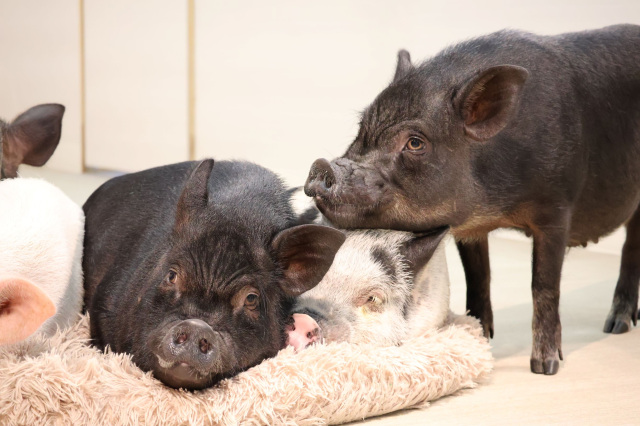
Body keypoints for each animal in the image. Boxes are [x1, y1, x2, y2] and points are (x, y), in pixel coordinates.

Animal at [304, 25, 640, 374]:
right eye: (362, 128)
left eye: (415, 143)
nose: (322, 165)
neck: (496, 208)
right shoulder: (470, 229)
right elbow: (478, 278)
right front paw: (479, 337)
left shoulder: (556, 211)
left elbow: (544, 286)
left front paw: (545, 367)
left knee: (631, 248)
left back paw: (615, 326)